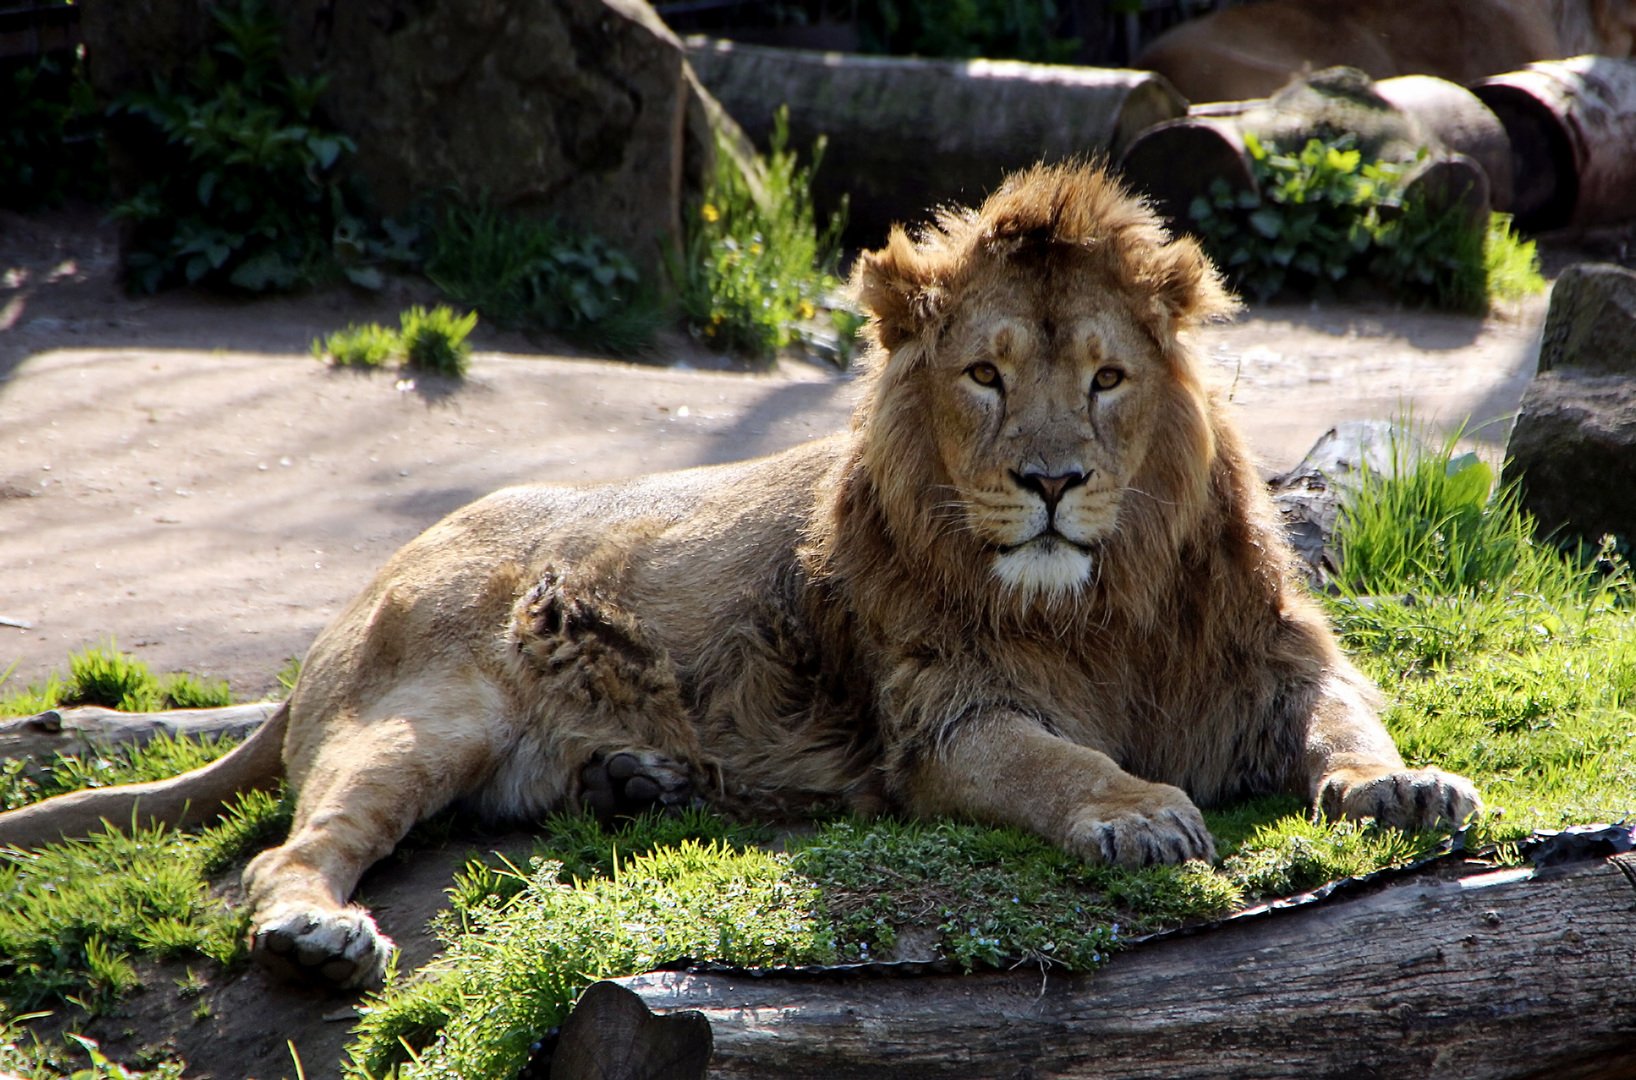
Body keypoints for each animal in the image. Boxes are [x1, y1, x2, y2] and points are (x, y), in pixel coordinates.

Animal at [0, 160, 1485, 988]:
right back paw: (322, 937)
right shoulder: (948, 726)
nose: (1054, 481)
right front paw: (1136, 813)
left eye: (1107, 380)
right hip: (420, 719)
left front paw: (1404, 787)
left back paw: (637, 778)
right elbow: (1054, 764)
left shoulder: (1278, 660)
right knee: (284, 855)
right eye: (988, 375)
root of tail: (351, 601)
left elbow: (1345, 721)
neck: (1101, 604)